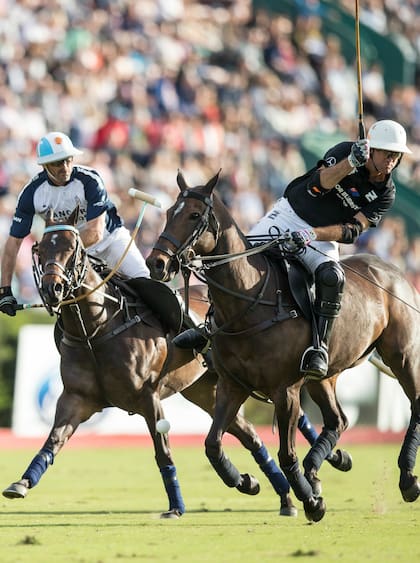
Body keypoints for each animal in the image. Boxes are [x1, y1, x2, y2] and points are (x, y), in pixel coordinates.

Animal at [1, 207, 310, 520]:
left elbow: (163, 452)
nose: (53, 288)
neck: (95, 330)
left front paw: (176, 507)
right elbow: (52, 441)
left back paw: (283, 494)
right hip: (208, 390)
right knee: (250, 436)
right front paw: (21, 483)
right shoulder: (76, 399)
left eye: (71, 247)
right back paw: (264, 489)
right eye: (40, 250)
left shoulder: (148, 398)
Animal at [147, 171, 420, 524]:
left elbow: (286, 453)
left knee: (414, 404)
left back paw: (407, 479)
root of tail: (393, 269)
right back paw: (319, 467)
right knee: (338, 420)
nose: (156, 263)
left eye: (194, 215)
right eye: (169, 212)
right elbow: (213, 444)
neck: (248, 300)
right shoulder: (232, 385)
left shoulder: (285, 390)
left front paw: (312, 502)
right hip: (325, 376)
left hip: (403, 356)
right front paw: (246, 481)